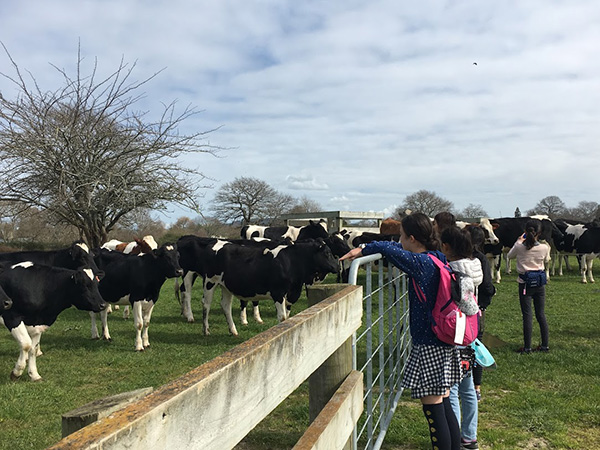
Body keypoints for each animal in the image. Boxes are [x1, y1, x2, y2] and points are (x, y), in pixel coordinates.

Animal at [176, 236, 340, 334]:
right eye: (327, 253)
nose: (338, 266)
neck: (290, 261)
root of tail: (216, 241)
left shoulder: (291, 293)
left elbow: (288, 316)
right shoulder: (278, 292)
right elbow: (282, 317)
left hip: (225, 285)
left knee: (225, 306)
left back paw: (233, 330)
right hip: (208, 281)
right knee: (205, 303)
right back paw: (205, 329)